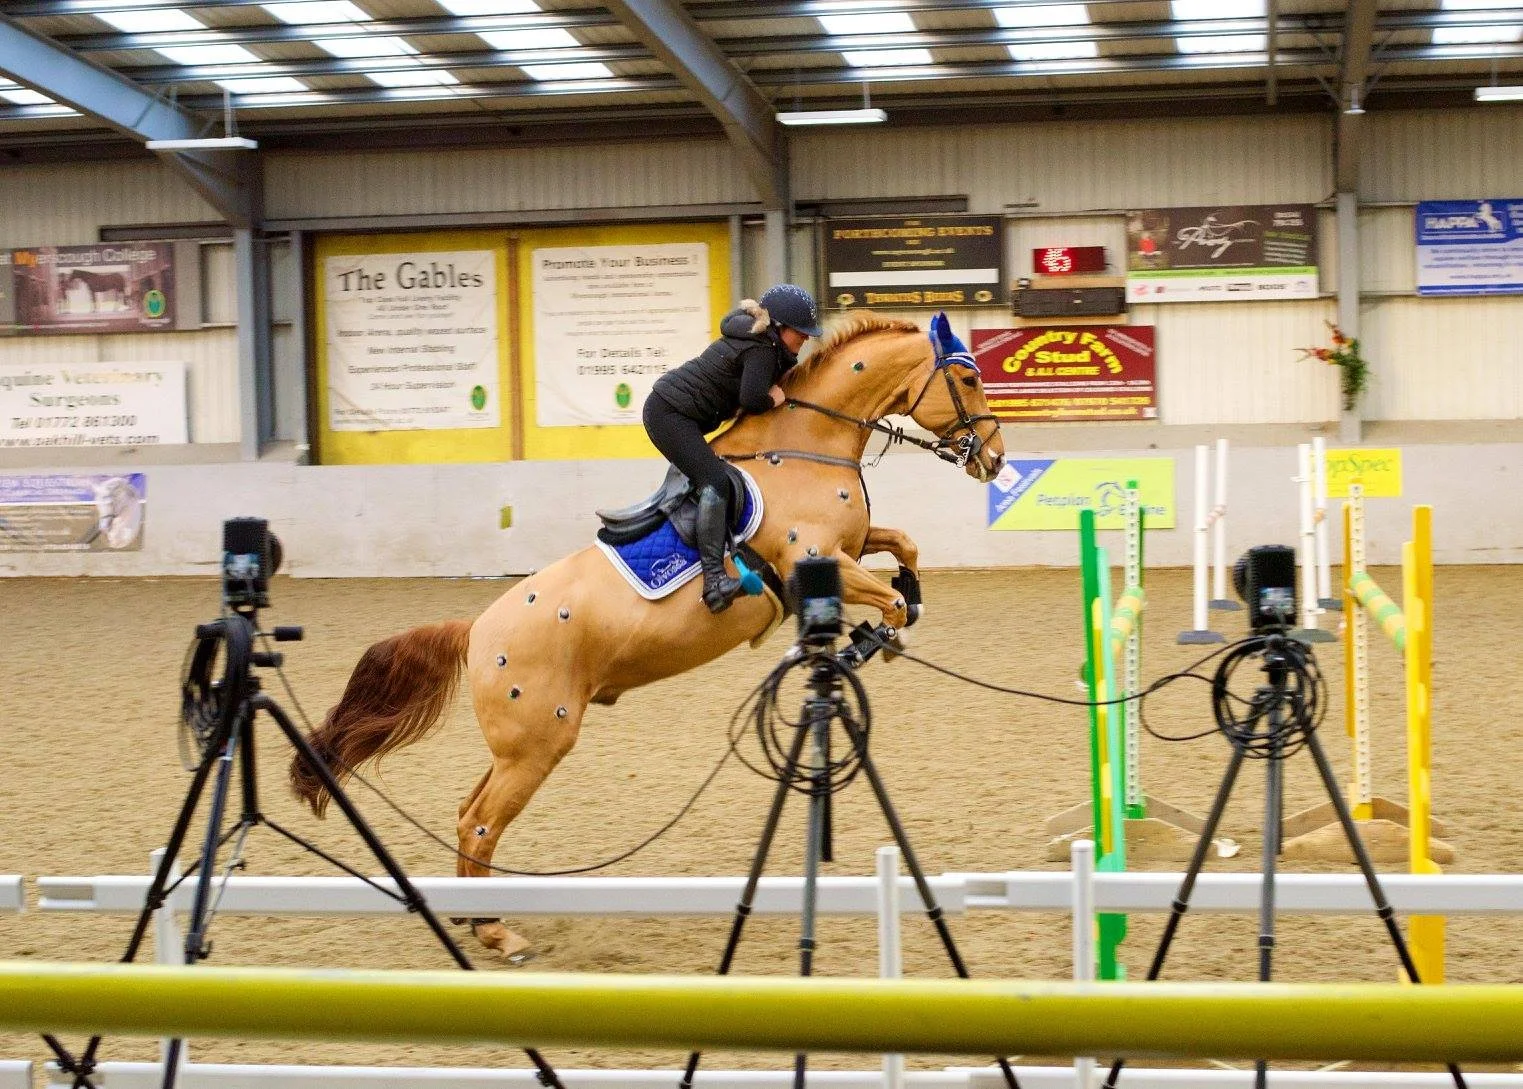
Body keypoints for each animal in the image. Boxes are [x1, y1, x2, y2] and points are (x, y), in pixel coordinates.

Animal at [289, 311, 1007, 959]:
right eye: (969, 377)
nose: (996, 459)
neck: (807, 444)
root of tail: (474, 630)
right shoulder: (816, 561)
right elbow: (887, 598)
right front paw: (865, 640)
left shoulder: (849, 550)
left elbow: (903, 547)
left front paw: (902, 603)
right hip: (536, 744)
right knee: (481, 821)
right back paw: (495, 930)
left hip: (516, 745)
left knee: (468, 814)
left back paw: (476, 919)